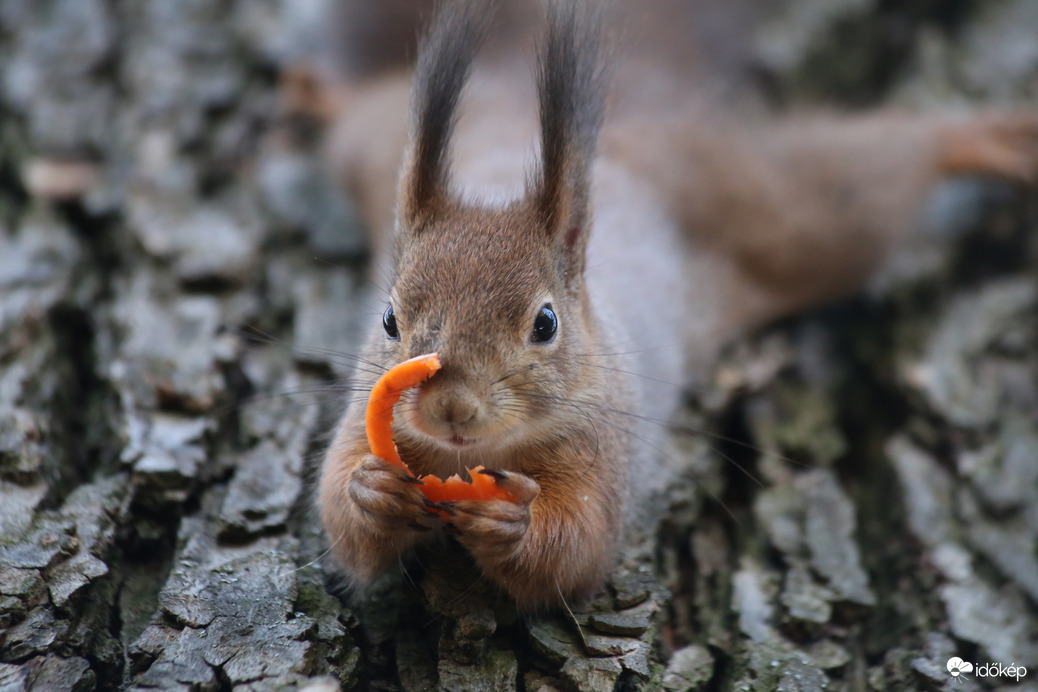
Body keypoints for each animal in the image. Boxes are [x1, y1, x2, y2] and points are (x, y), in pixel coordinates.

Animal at [313, 0, 1038, 610]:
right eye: (388, 319)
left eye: (545, 324)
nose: (452, 410)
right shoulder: (360, 422)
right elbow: (341, 522)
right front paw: (372, 494)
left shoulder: (606, 451)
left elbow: (578, 550)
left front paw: (511, 522)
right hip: (372, 146)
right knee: (358, 113)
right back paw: (315, 92)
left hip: (794, 214)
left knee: (882, 167)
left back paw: (992, 139)